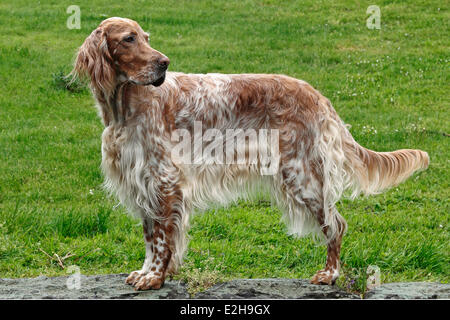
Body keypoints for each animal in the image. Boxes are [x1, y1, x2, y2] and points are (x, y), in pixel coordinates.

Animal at [72, 17, 430, 290]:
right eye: (129, 39)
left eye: (145, 38)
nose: (164, 63)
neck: (125, 107)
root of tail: (317, 94)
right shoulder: (142, 180)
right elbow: (150, 235)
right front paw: (146, 272)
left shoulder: (163, 179)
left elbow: (161, 239)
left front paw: (156, 276)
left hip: (301, 175)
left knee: (336, 224)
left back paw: (330, 274)